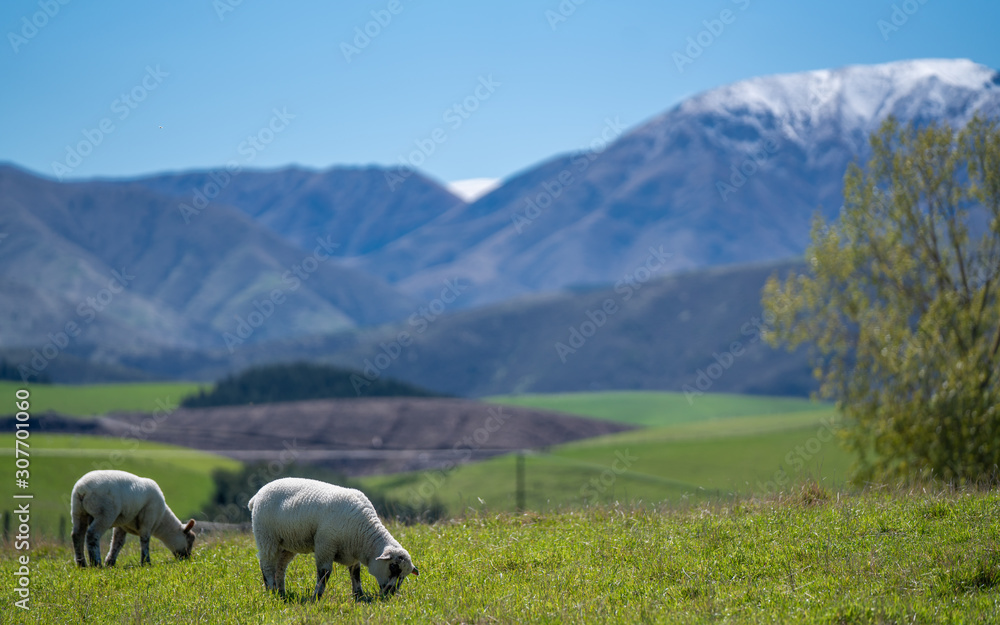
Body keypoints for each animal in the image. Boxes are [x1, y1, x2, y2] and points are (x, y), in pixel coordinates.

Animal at [248, 477, 419, 600]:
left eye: (404, 576)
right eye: (393, 567)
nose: (391, 594)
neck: (363, 537)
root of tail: (256, 496)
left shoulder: (352, 551)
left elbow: (355, 573)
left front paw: (359, 596)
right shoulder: (325, 546)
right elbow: (324, 574)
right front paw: (316, 597)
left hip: (287, 544)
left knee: (280, 567)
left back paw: (281, 593)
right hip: (266, 537)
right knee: (267, 565)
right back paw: (271, 591)